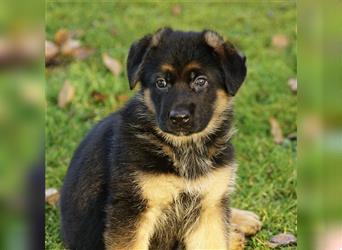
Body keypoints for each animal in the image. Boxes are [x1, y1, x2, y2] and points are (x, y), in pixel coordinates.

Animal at [60, 27, 262, 250]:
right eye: (161, 83)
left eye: (200, 81)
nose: (179, 118)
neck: (183, 149)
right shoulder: (133, 208)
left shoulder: (207, 207)